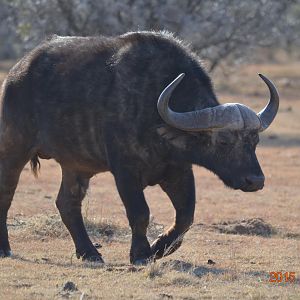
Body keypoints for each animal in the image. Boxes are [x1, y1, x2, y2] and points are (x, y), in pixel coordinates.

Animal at [0, 31, 278, 264]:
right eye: (223, 141)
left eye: (255, 141)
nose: (255, 180)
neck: (155, 114)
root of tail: (16, 74)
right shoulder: (125, 172)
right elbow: (140, 213)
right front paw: (141, 254)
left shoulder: (178, 172)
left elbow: (185, 217)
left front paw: (158, 248)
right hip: (14, 150)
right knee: (7, 194)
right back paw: (6, 248)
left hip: (75, 166)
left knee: (67, 203)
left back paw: (89, 253)